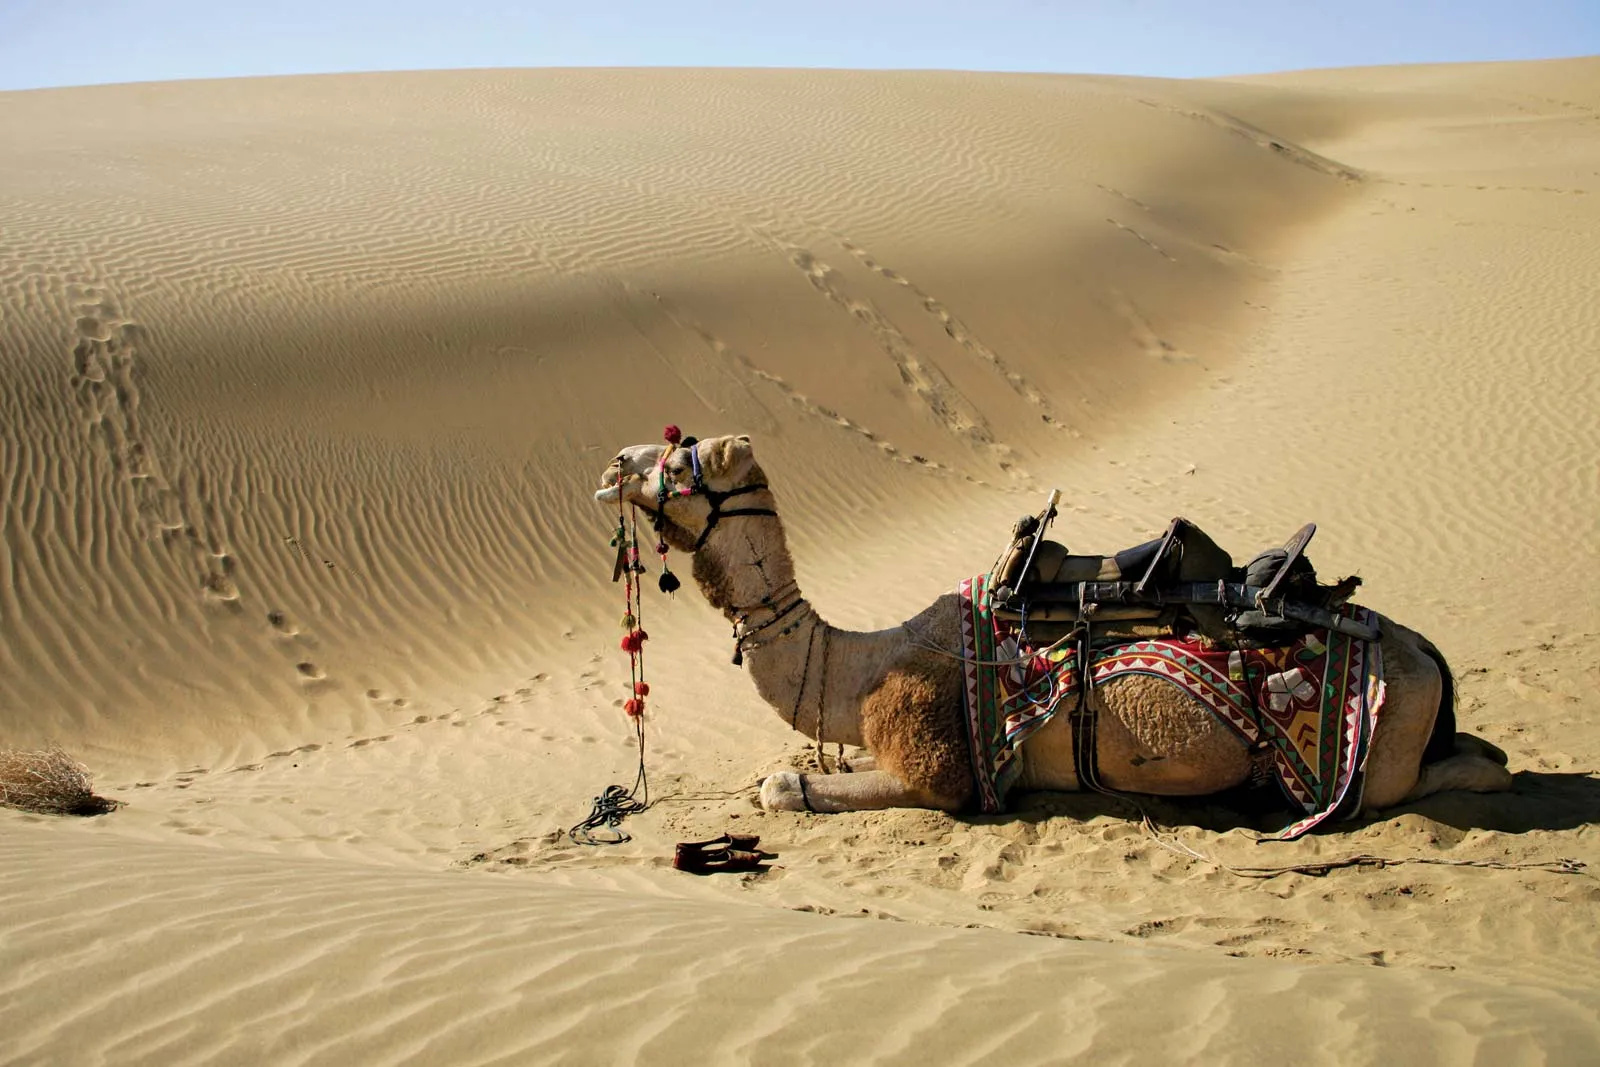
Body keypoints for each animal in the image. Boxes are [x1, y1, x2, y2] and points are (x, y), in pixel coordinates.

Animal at [598, 435, 1510, 819]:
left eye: (677, 458)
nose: (611, 464)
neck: (864, 665)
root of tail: (1425, 652)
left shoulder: (944, 771)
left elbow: (782, 785)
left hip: (1384, 751)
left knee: (1465, 773)